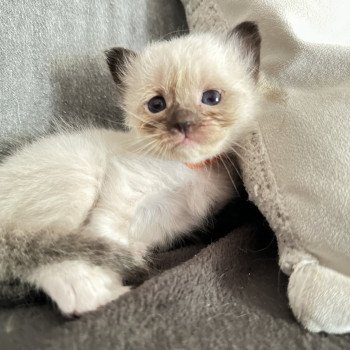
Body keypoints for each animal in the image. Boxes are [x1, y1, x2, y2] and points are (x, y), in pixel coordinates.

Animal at [0, 22, 260, 318]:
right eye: (157, 104)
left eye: (211, 98)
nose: (183, 124)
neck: (188, 167)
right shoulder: (122, 190)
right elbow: (105, 234)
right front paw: (112, 276)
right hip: (77, 178)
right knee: (45, 252)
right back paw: (98, 294)